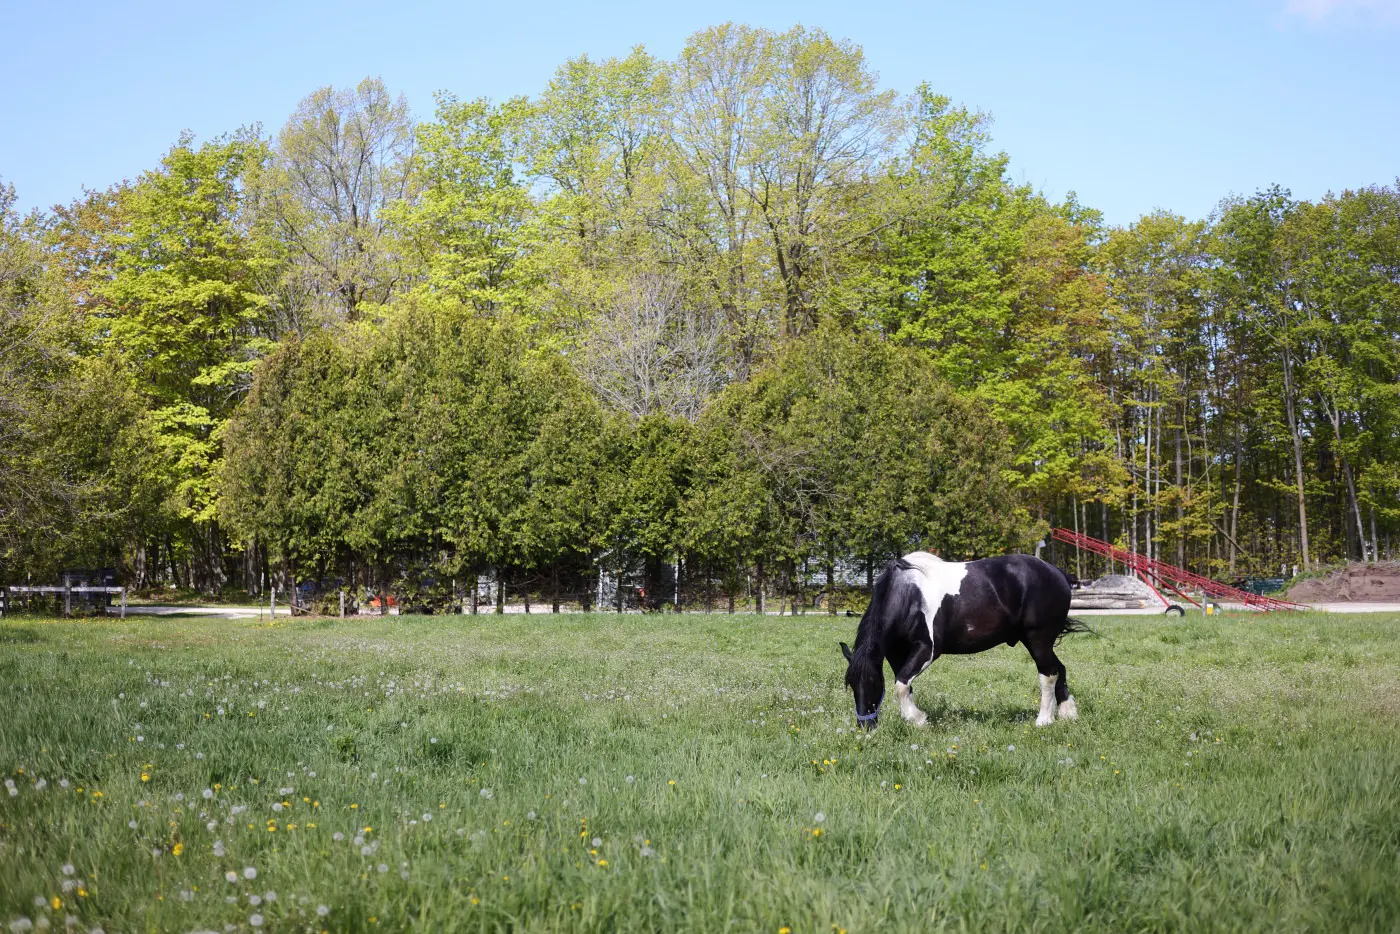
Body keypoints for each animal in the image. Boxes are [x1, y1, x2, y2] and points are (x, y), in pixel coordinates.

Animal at [840, 551, 1090, 729]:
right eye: (851, 685)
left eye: (873, 683)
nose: (865, 726)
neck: (909, 596)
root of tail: (1057, 573)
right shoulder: (896, 653)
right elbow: (903, 684)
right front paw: (914, 718)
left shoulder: (927, 650)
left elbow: (901, 685)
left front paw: (918, 720)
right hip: (1036, 641)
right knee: (1059, 669)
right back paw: (1068, 714)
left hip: (1038, 639)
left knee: (1048, 674)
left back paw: (1044, 720)